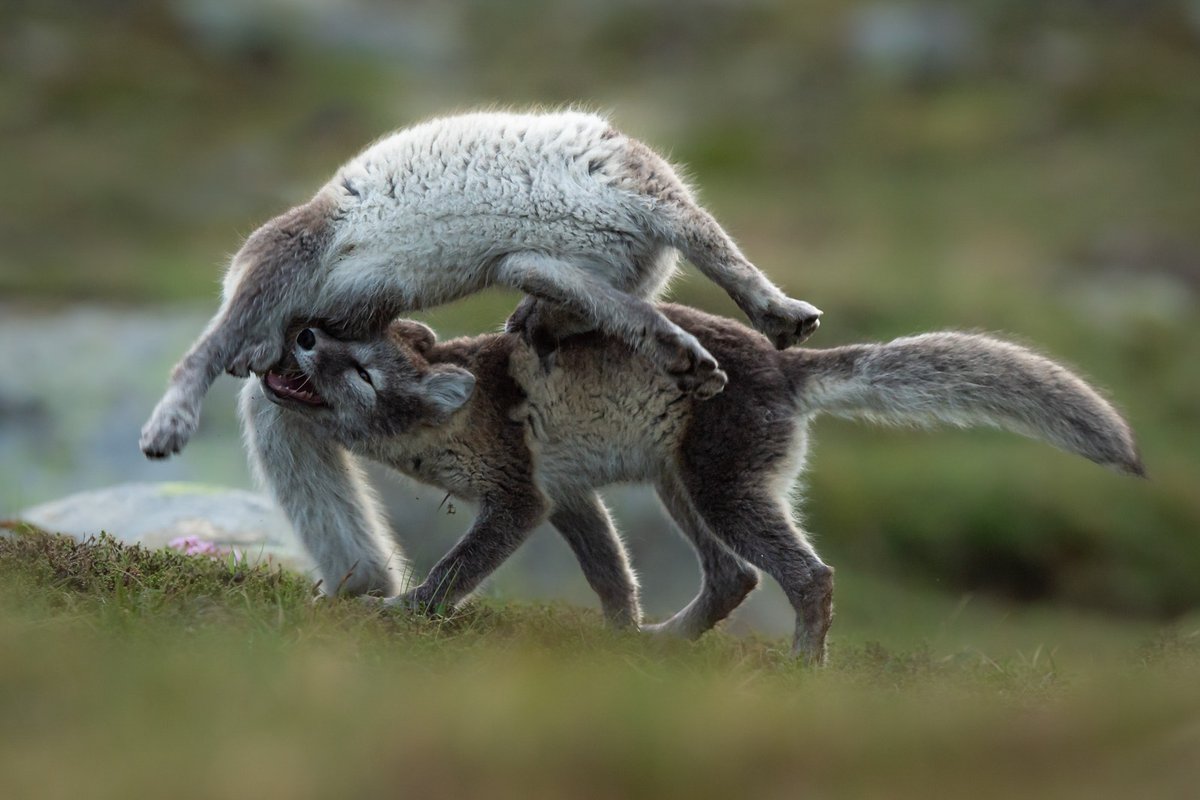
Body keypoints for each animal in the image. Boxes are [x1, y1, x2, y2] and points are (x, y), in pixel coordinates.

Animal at [141, 110, 822, 459]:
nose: (521, 327)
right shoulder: (648, 194)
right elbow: (723, 256)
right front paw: (783, 315)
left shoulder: (535, 266)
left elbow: (627, 310)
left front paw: (693, 360)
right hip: (289, 253)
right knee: (204, 350)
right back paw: (167, 426)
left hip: (364, 301)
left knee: (267, 339)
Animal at [238, 304, 1142, 664]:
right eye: (329, 332)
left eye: (354, 364)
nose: (300, 331)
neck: (447, 419)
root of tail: (783, 363)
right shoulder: (568, 497)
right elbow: (612, 577)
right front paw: (617, 638)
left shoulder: (520, 498)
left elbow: (454, 572)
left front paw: (403, 612)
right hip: (684, 490)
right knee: (737, 577)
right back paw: (669, 642)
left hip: (721, 492)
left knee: (809, 574)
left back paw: (803, 664)